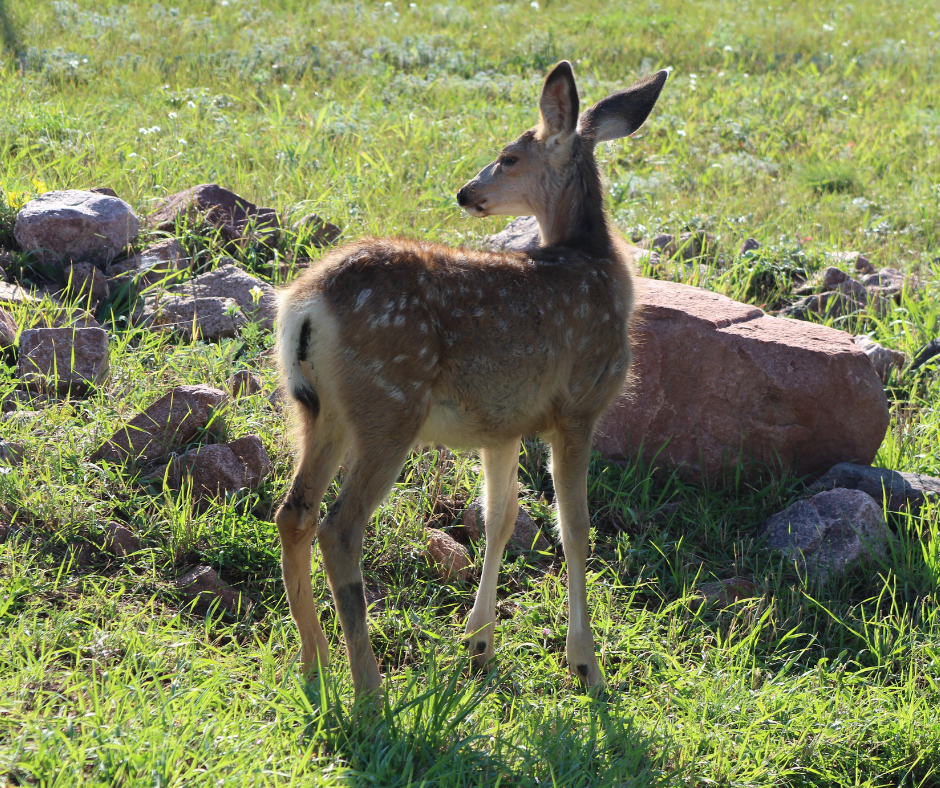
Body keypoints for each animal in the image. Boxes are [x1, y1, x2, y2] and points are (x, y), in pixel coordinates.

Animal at [274, 61, 668, 698]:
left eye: (508, 157)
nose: (464, 191)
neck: (593, 262)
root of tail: (303, 306)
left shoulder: (502, 425)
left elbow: (500, 519)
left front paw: (479, 645)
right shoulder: (578, 407)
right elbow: (575, 529)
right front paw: (586, 665)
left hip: (317, 410)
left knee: (295, 513)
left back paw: (316, 665)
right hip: (389, 405)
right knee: (340, 528)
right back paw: (369, 688)